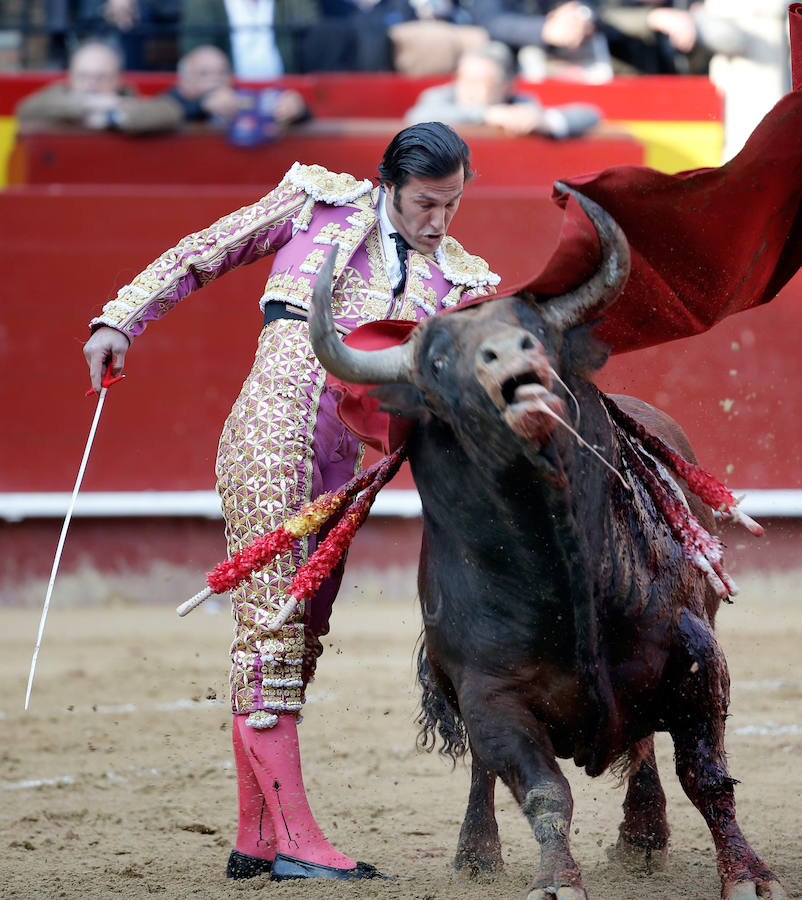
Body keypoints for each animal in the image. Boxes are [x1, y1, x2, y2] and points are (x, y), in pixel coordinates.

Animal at [310, 186, 784, 896]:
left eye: (538, 332)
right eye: (438, 361)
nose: (510, 353)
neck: (556, 561)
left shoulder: (695, 658)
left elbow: (706, 776)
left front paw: (748, 874)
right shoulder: (489, 694)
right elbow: (542, 791)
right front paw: (555, 879)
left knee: (643, 743)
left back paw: (643, 836)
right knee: (489, 771)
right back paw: (476, 853)